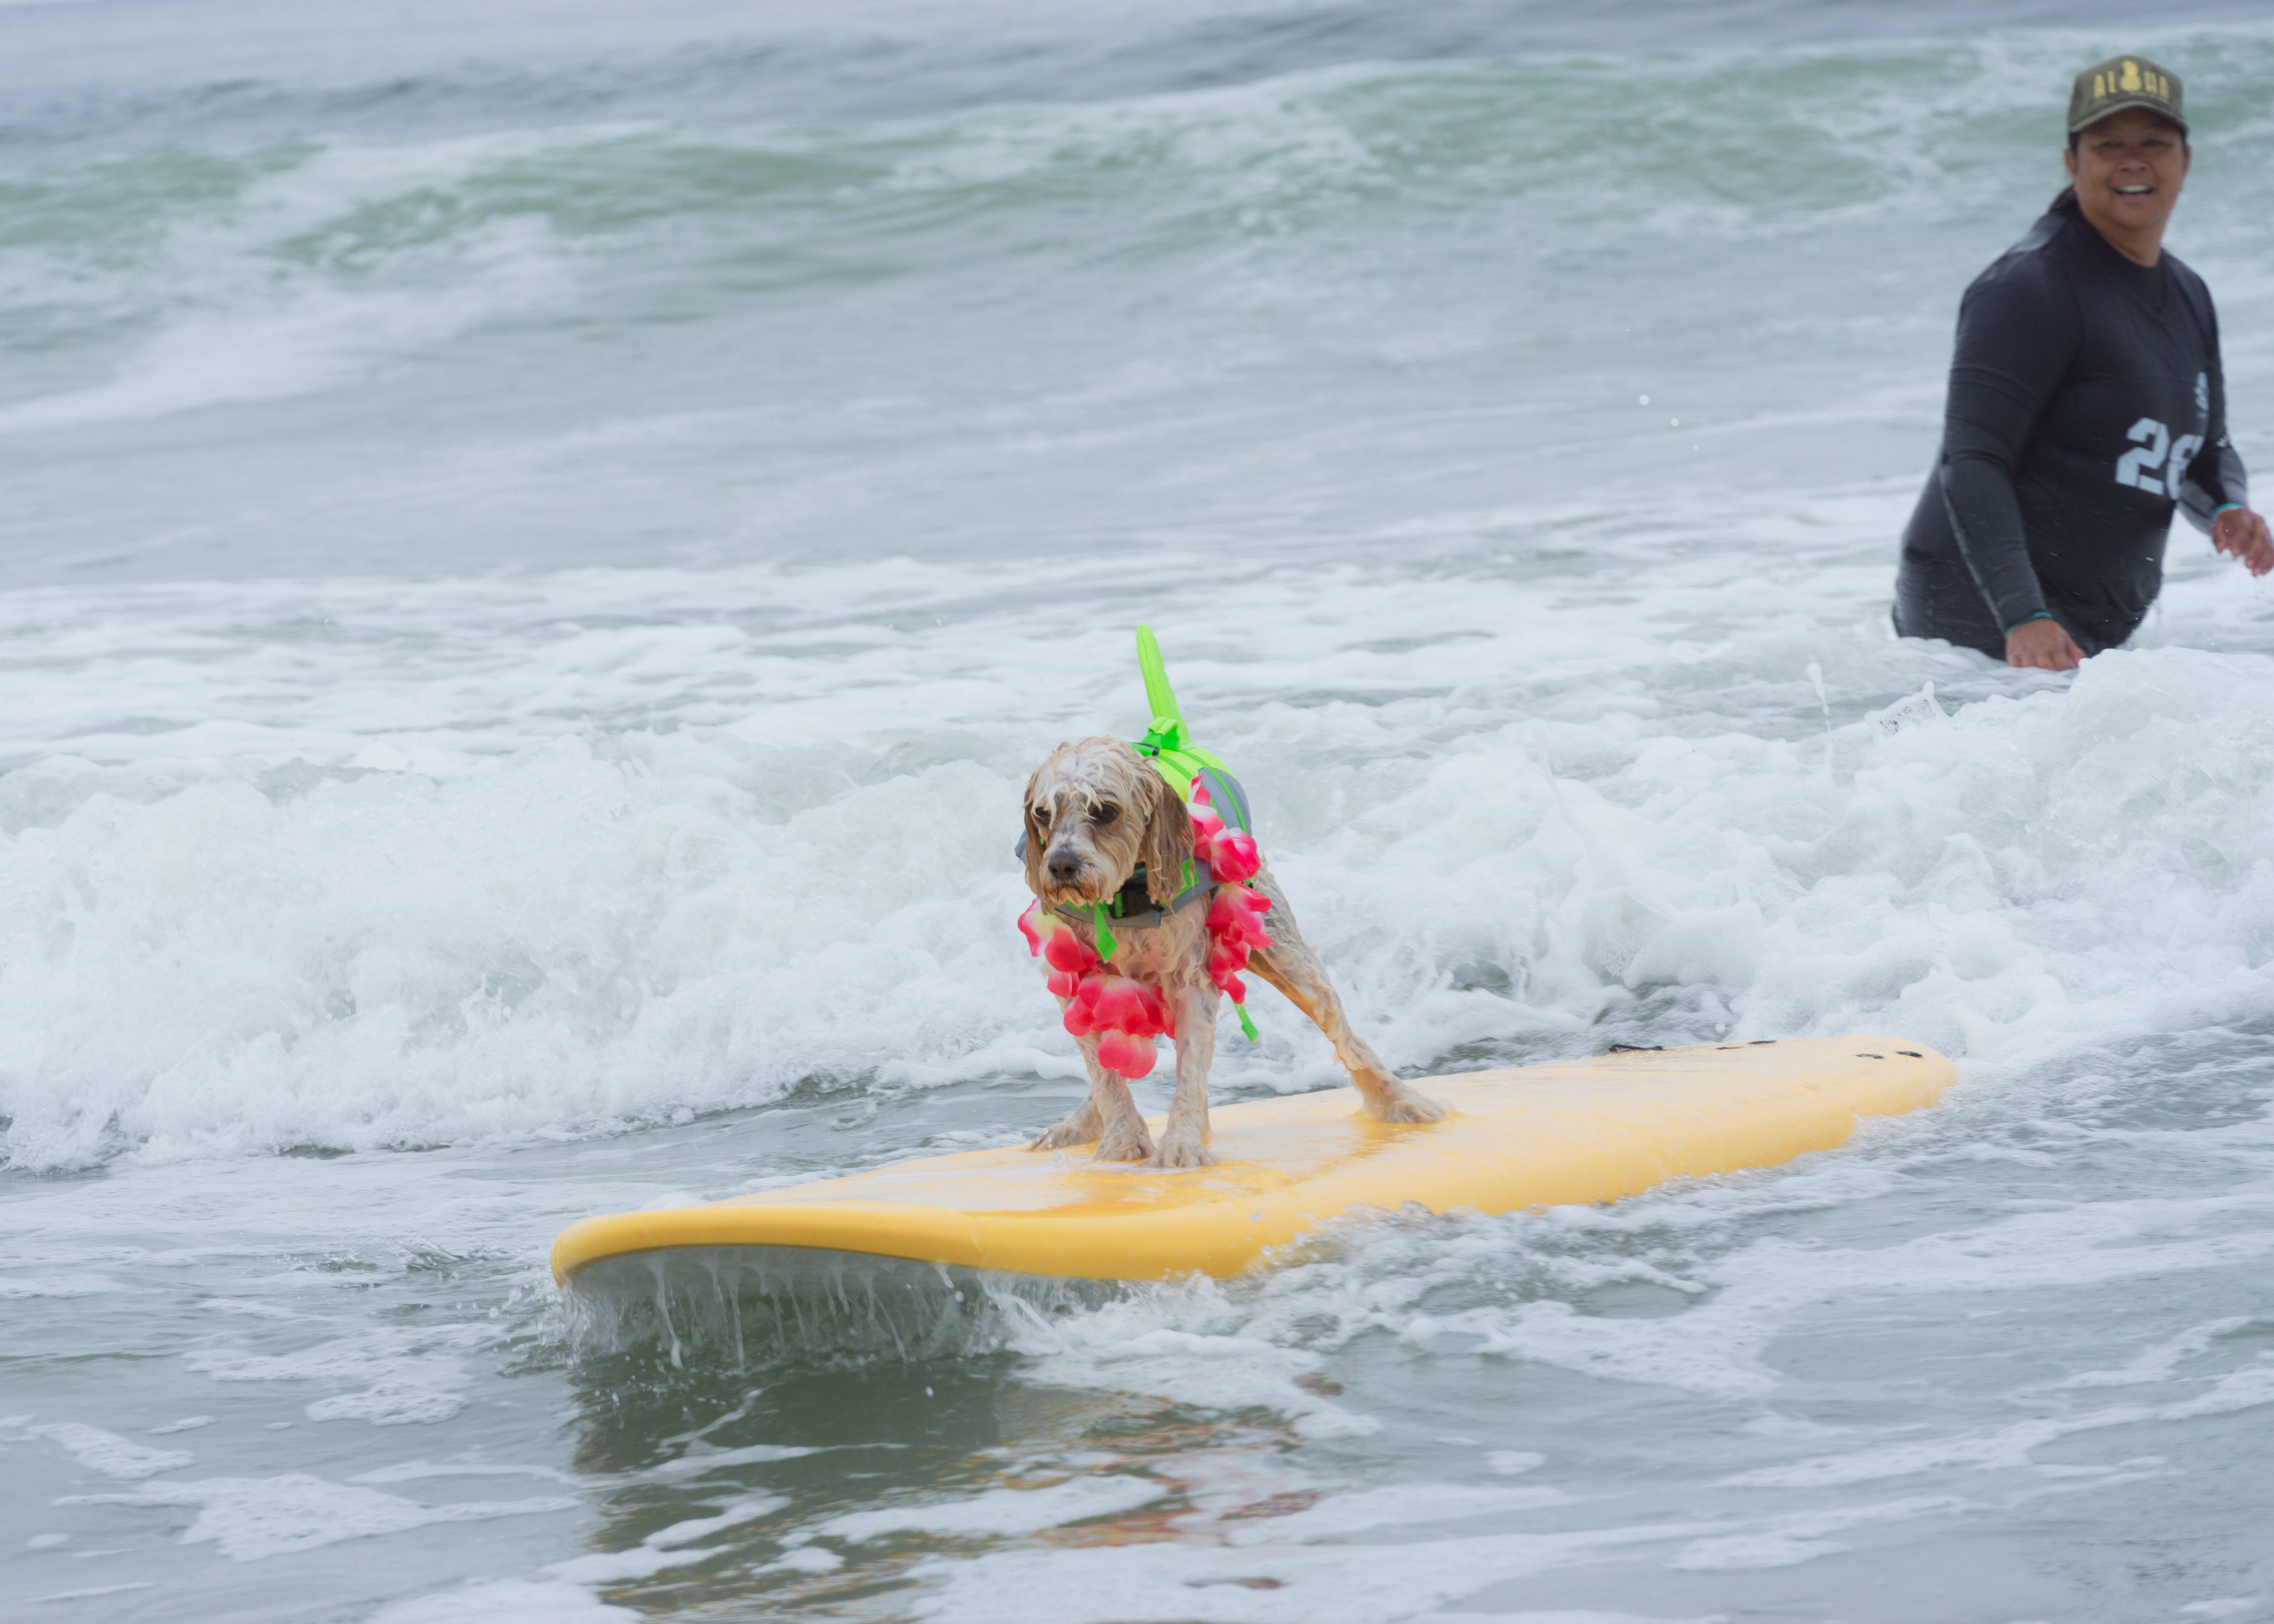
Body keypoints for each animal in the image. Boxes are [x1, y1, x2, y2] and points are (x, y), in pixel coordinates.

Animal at [1028, 732, 1446, 1165]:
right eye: (1042, 813)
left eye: (1106, 811)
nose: (1060, 865)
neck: (1123, 904)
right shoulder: (1078, 984)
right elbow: (1104, 1074)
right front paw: (1122, 1142)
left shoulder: (1192, 982)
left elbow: (1190, 1070)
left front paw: (1180, 1147)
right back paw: (1078, 1124)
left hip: (1286, 955)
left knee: (1346, 1037)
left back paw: (1401, 1100)